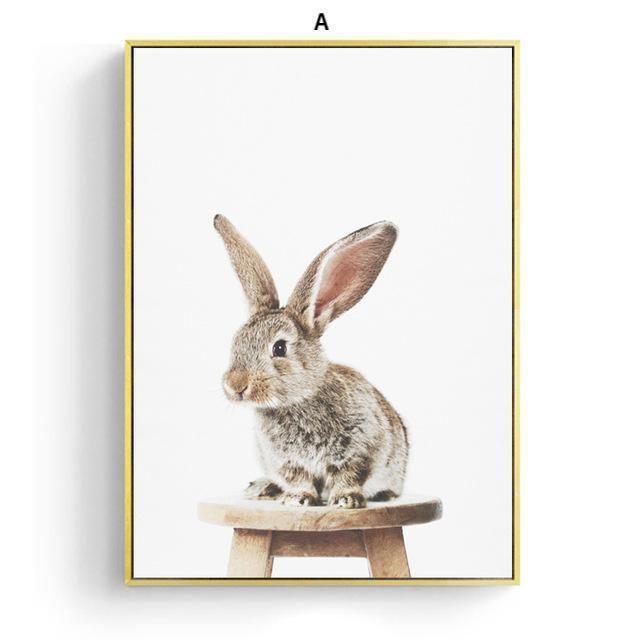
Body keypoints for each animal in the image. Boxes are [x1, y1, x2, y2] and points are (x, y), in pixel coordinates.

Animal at [214, 214, 408, 508]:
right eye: (236, 341)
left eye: (279, 347)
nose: (235, 385)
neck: (298, 400)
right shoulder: (287, 462)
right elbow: (299, 479)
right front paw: (297, 499)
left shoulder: (361, 450)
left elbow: (348, 475)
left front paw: (346, 501)